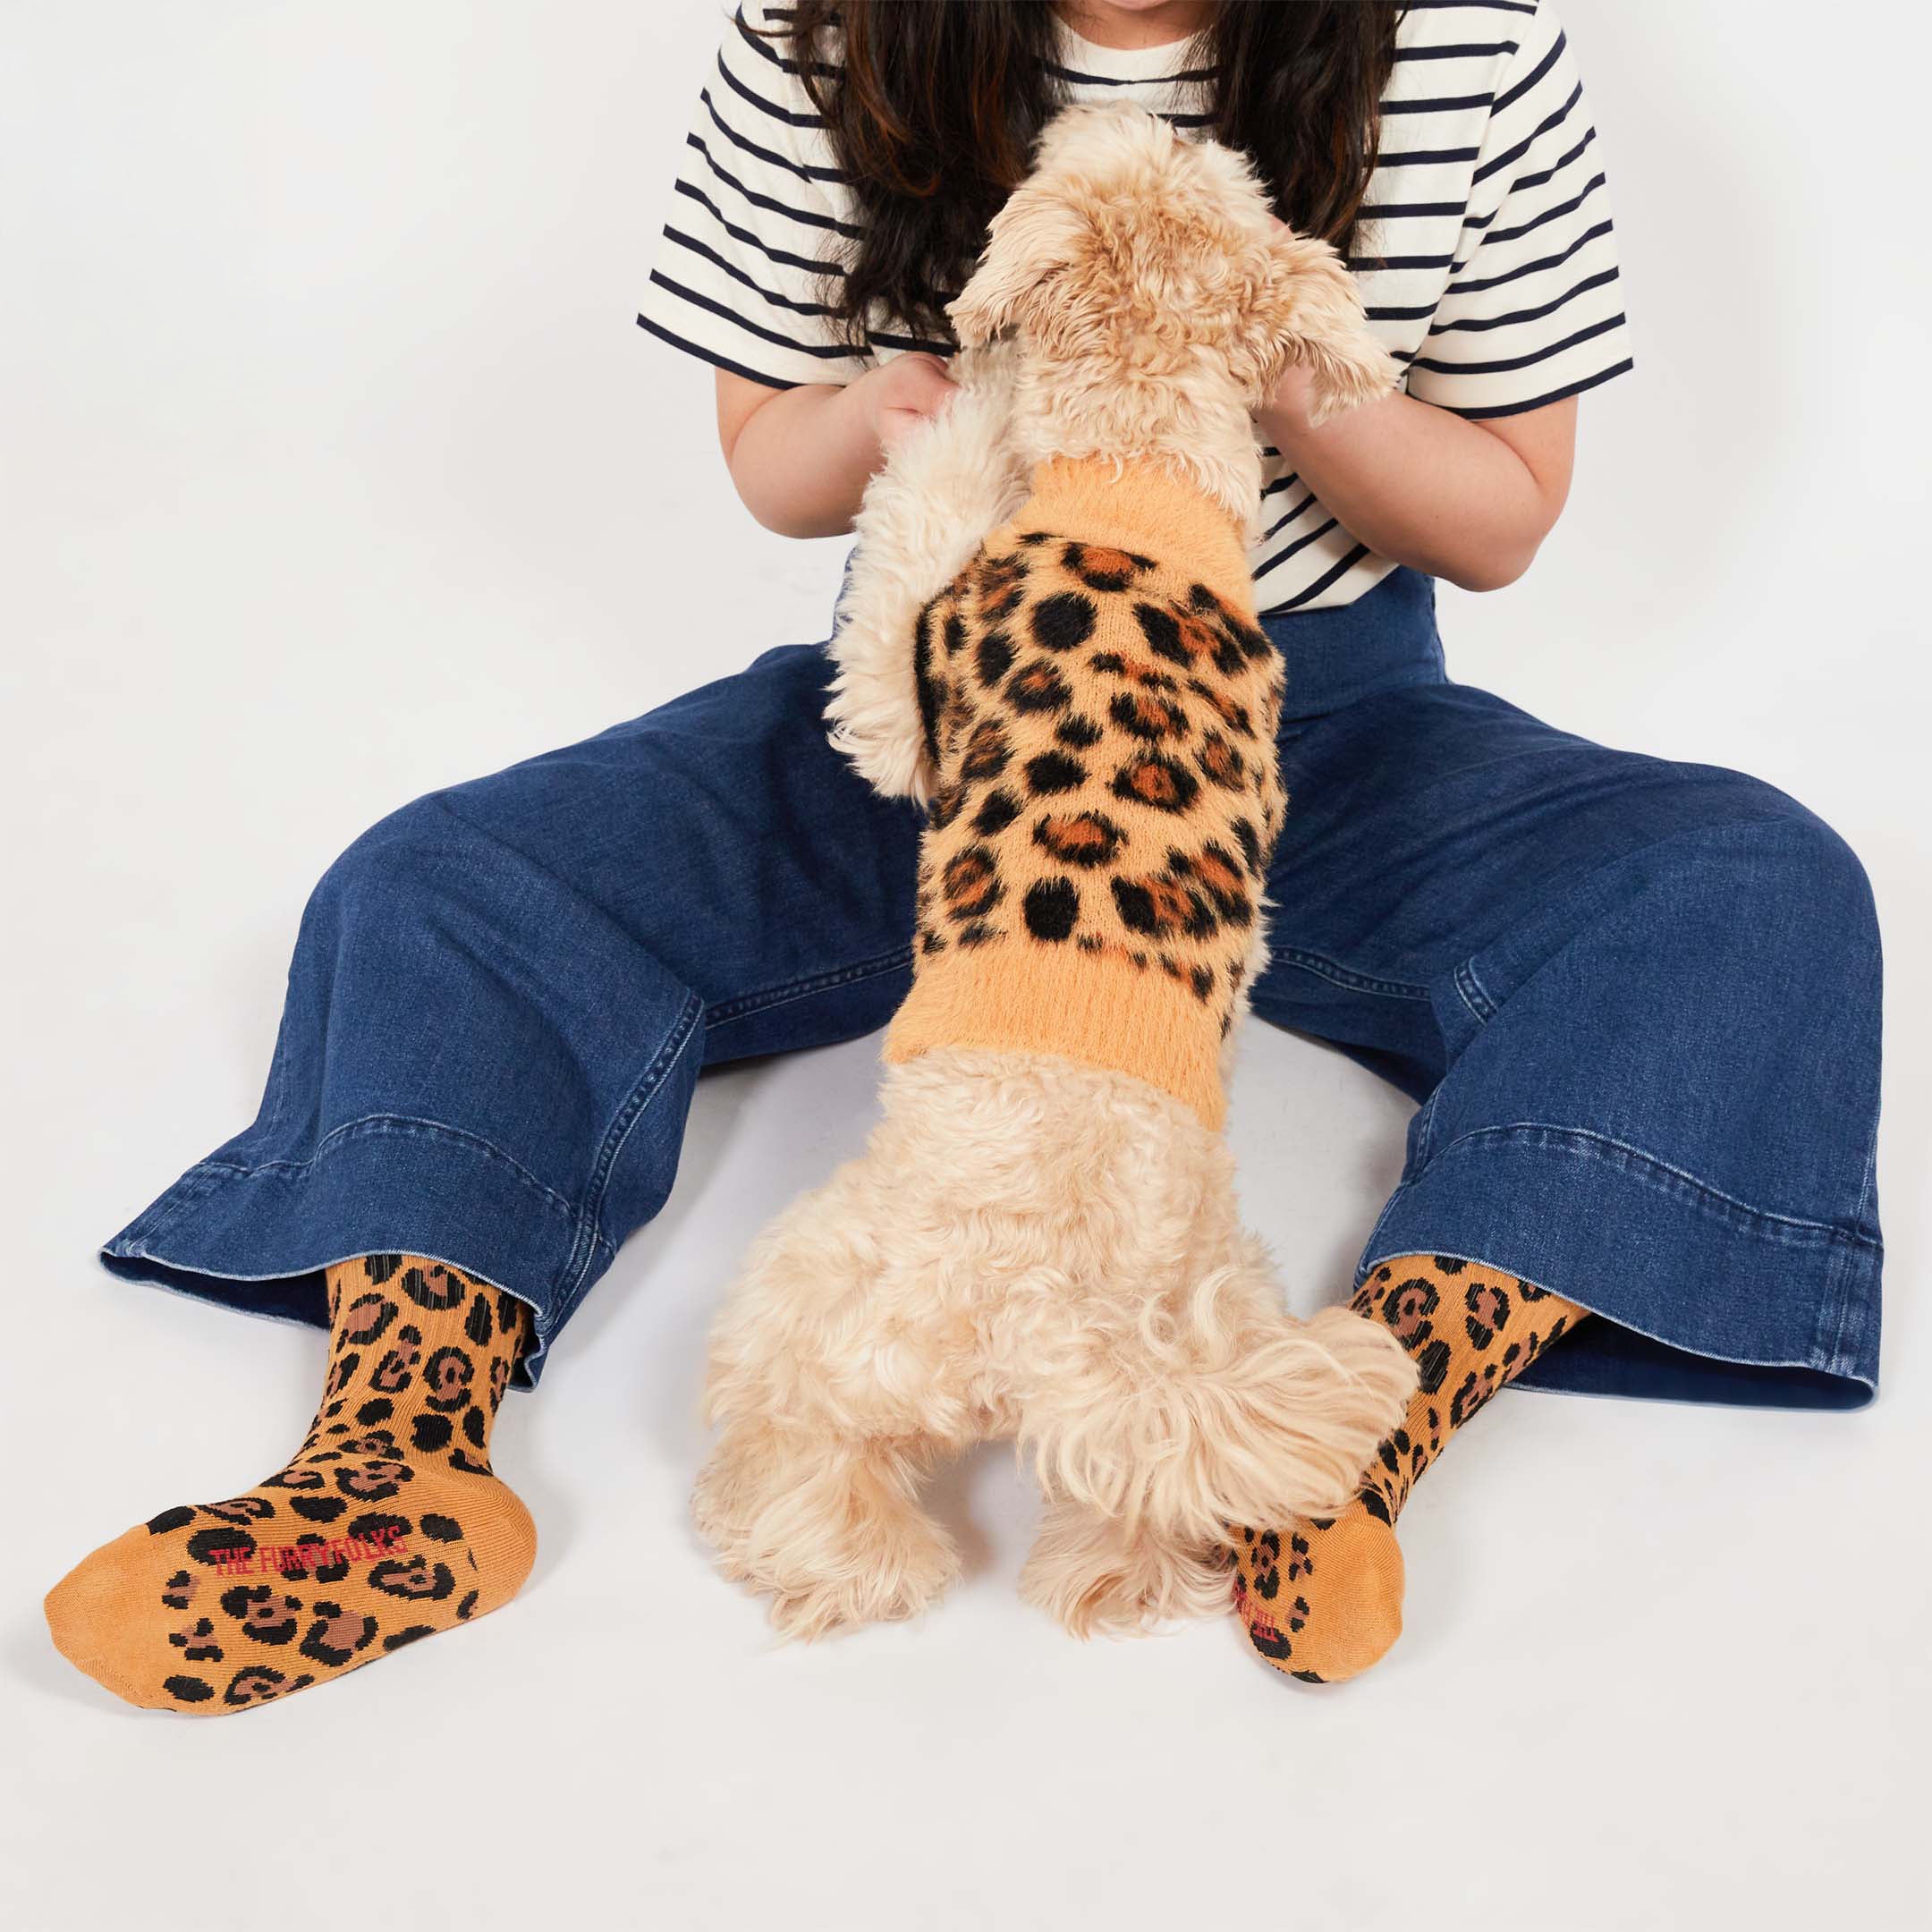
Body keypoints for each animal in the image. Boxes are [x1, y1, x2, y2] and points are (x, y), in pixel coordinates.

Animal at [699, 106, 1421, 1638]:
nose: (1100, 107)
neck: (1139, 471)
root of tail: (1051, 1326)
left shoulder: (900, 686)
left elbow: (922, 516)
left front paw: (975, 384)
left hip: (817, 1291)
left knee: (808, 1450)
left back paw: (825, 1555)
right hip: (1205, 1298)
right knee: (1136, 1499)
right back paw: (1112, 1577)